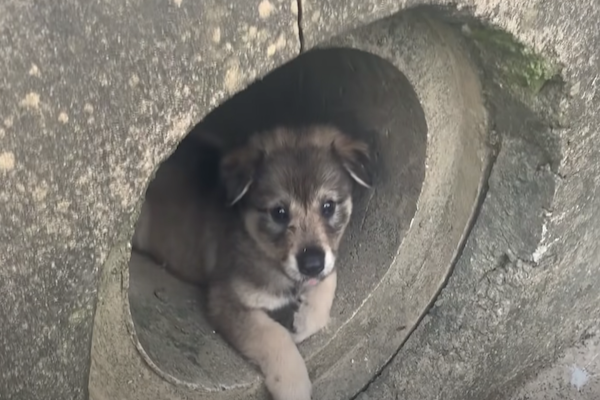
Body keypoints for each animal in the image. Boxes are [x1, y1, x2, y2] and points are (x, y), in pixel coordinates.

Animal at [134, 125, 372, 400]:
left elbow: (329, 281)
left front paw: (304, 321)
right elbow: (274, 335)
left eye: (328, 206)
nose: (311, 264)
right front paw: (293, 385)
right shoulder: (226, 298)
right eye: (279, 213)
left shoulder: (325, 262)